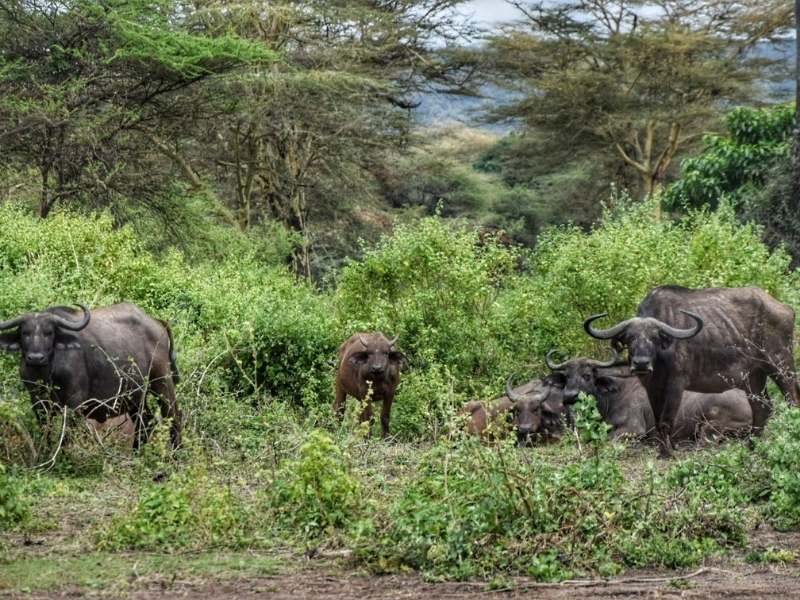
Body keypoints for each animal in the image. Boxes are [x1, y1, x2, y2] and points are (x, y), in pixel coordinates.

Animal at [0, 304, 182, 450]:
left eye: (49, 333)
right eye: (25, 333)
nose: (36, 358)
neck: (47, 374)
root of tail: (158, 323)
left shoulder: (74, 404)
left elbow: (66, 435)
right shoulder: (37, 402)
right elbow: (46, 430)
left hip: (162, 380)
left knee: (173, 415)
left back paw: (176, 454)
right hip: (134, 396)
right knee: (146, 421)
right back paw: (136, 453)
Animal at [584, 286, 796, 454]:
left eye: (654, 337)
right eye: (630, 337)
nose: (641, 363)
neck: (660, 359)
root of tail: (786, 310)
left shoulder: (676, 385)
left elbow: (666, 420)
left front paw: (667, 453)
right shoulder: (652, 388)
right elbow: (657, 419)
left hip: (781, 365)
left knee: (792, 399)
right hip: (754, 376)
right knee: (762, 407)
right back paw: (752, 445)